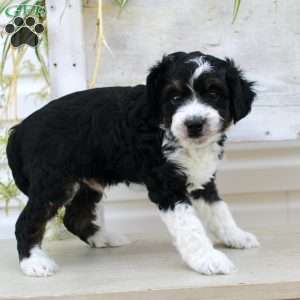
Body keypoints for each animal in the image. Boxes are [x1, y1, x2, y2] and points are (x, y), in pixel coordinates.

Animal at [6, 51, 258, 276]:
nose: (194, 123)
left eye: (214, 93)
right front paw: (207, 259)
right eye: (175, 97)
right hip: (55, 183)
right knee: (26, 222)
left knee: (75, 217)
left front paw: (236, 236)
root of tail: (20, 129)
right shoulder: (167, 187)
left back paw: (103, 238)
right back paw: (34, 263)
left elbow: (219, 210)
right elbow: (190, 226)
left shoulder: (201, 179)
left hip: (86, 181)